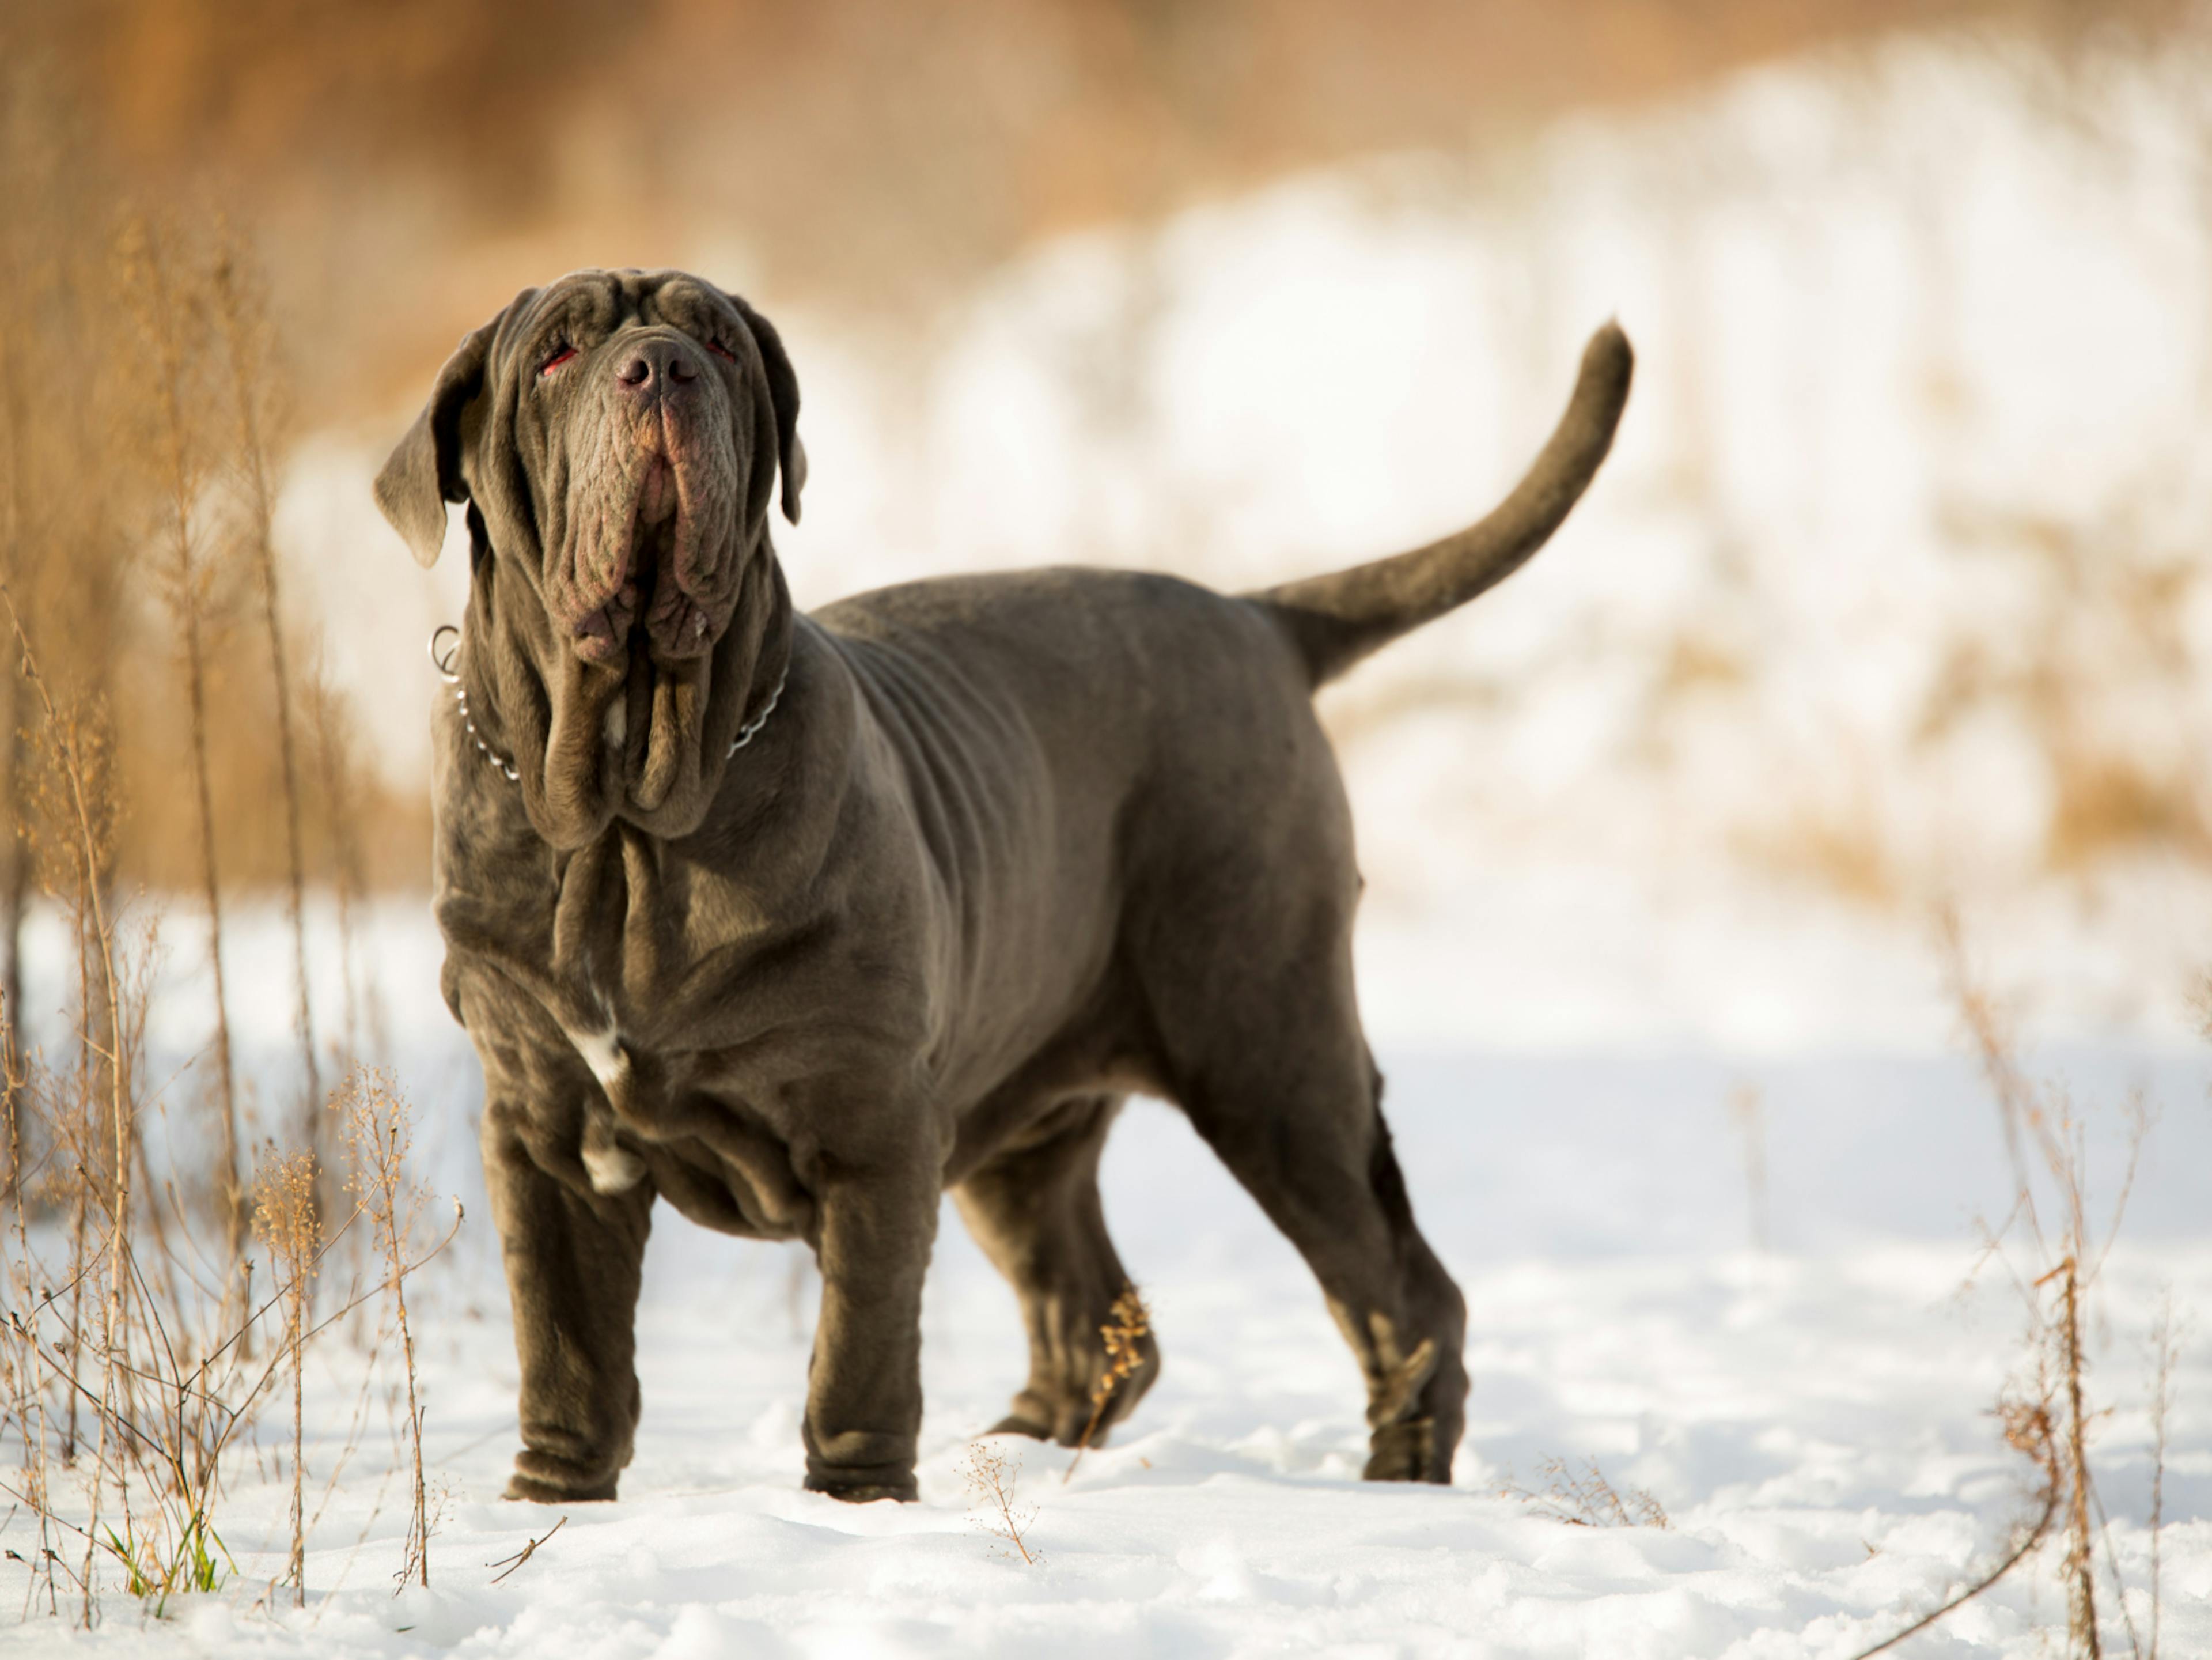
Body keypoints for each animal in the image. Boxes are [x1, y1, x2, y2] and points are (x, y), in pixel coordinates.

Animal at [376, 266, 1628, 1505]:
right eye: (556, 354)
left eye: (720, 344)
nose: (663, 367)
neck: (628, 822)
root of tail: (1258, 617)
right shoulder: (543, 1134)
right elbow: (565, 1348)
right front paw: (553, 1504)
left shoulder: (876, 1134)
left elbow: (858, 1351)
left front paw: (854, 1507)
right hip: (1030, 1125)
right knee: (1096, 1312)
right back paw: (1017, 1452)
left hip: (1272, 1058)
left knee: (1402, 1292)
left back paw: (1397, 1476)